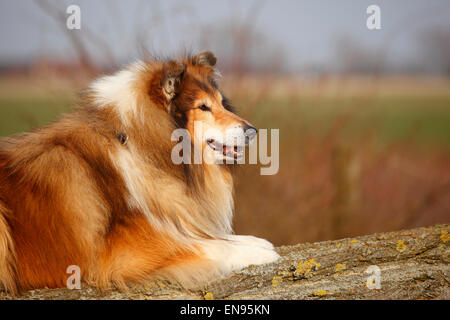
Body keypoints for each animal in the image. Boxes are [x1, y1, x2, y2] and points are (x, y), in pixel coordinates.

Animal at [0, 51, 280, 294]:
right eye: (203, 107)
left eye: (222, 104)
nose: (252, 131)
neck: (139, 147)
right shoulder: (123, 253)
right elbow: (210, 247)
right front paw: (263, 252)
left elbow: (214, 237)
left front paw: (257, 242)